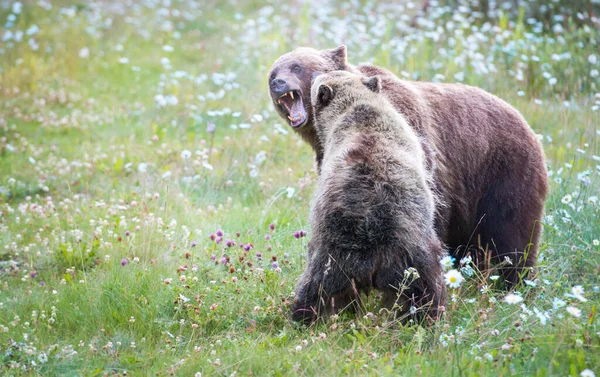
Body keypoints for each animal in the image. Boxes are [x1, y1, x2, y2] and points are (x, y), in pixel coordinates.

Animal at [270, 46, 552, 288]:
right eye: (274, 71)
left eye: (296, 66)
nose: (277, 83)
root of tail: (524, 121)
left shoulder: (412, 134)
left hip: (502, 170)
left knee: (512, 232)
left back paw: (516, 280)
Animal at [290, 71, 446, 324]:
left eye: (319, 78)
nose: (315, 73)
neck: (356, 106)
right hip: (405, 252)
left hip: (336, 256)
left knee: (314, 288)